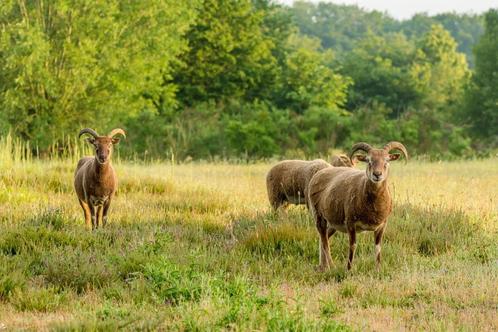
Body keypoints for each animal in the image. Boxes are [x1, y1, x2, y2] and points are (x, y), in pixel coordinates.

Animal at [308, 141, 408, 272]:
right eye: (369, 161)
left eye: (387, 161)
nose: (377, 174)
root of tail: (318, 174)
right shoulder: (351, 223)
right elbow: (353, 245)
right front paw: (349, 269)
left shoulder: (382, 225)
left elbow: (378, 248)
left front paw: (378, 270)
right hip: (319, 215)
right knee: (324, 240)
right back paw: (331, 266)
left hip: (333, 222)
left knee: (324, 238)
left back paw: (323, 266)